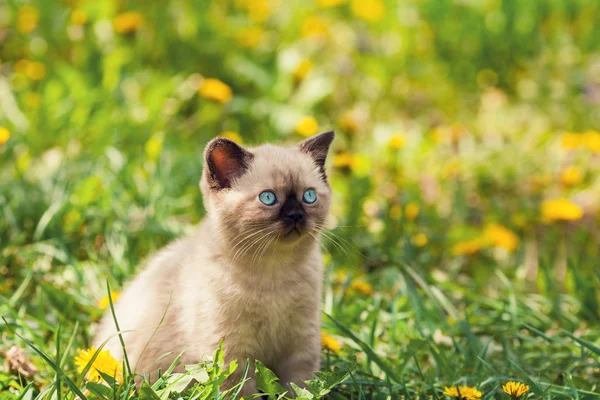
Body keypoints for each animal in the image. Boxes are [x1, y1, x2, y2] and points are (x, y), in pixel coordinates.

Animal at [96, 130, 336, 396]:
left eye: (309, 196)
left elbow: (300, 389)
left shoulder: (301, 345)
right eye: (268, 198)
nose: (296, 215)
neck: (273, 272)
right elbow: (242, 393)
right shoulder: (232, 352)